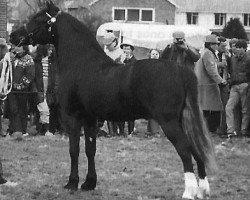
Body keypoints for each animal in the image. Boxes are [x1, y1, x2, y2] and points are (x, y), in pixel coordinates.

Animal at [9, 1, 217, 198]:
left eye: (38, 19)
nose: (13, 36)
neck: (81, 63)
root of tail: (181, 71)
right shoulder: (90, 118)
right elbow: (90, 149)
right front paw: (89, 183)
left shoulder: (73, 117)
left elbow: (74, 149)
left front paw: (72, 183)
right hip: (182, 120)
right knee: (196, 149)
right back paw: (203, 190)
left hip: (169, 122)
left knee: (185, 151)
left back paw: (189, 192)